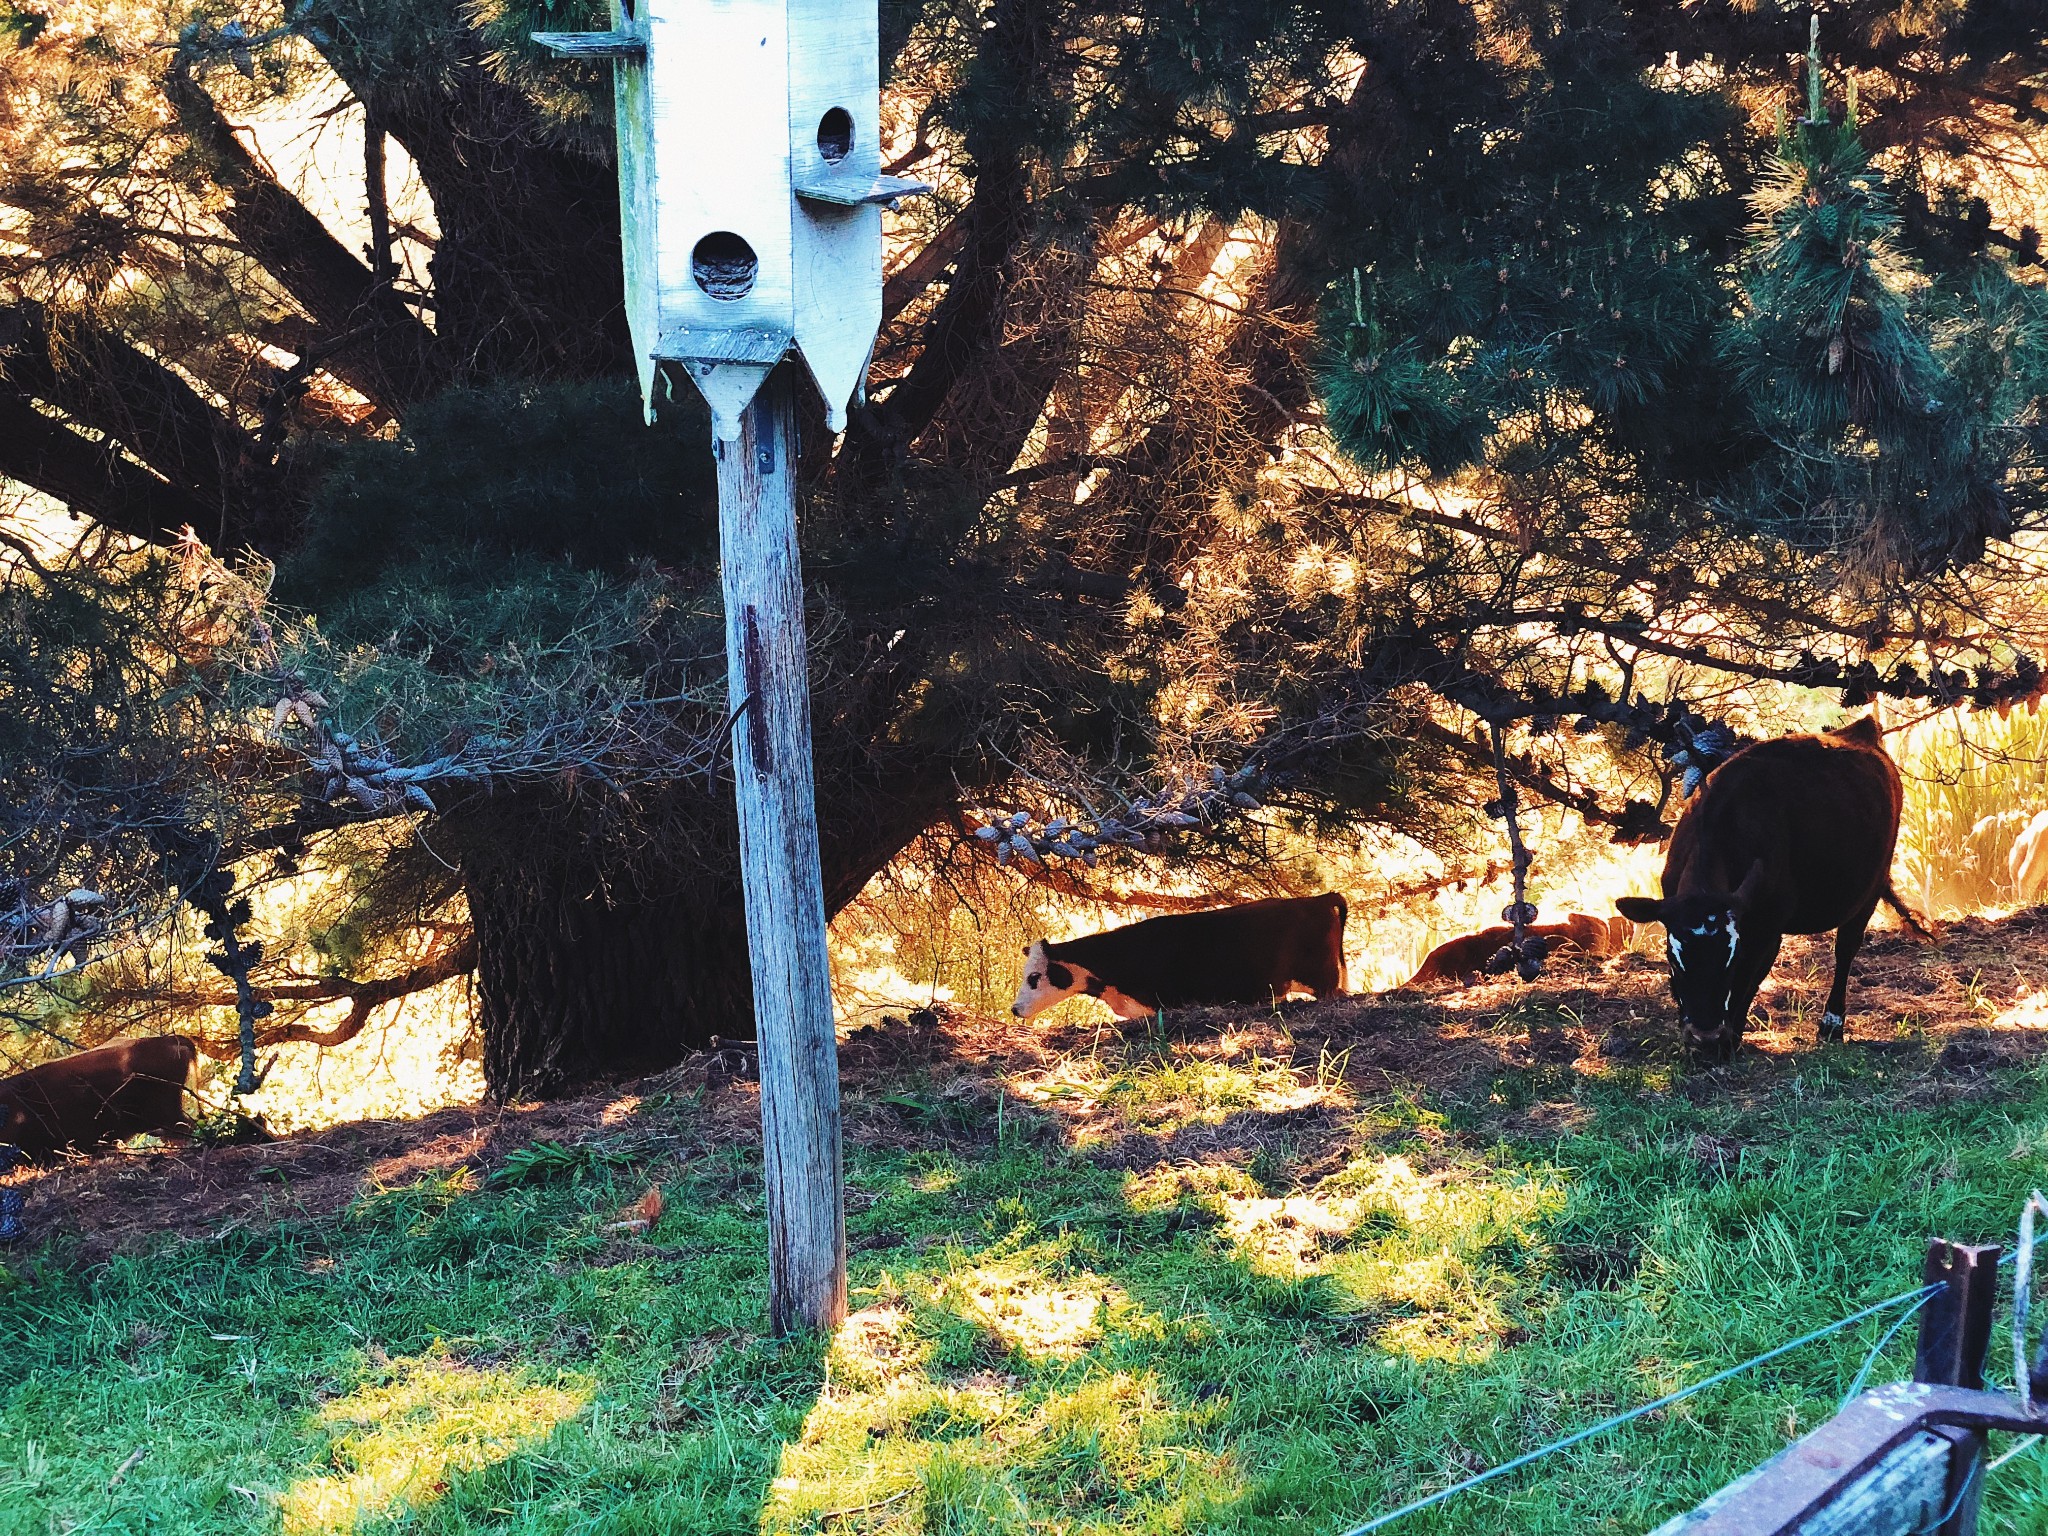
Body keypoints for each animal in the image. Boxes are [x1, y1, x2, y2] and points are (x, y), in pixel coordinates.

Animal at [1605, 720, 1925, 1056]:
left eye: (1731, 958)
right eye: (1673, 957)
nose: (1706, 1037)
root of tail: (1861, 729)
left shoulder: (1768, 928)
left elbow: (1747, 981)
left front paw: (1729, 1042)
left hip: (1870, 890)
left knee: (1846, 949)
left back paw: (1832, 1024)